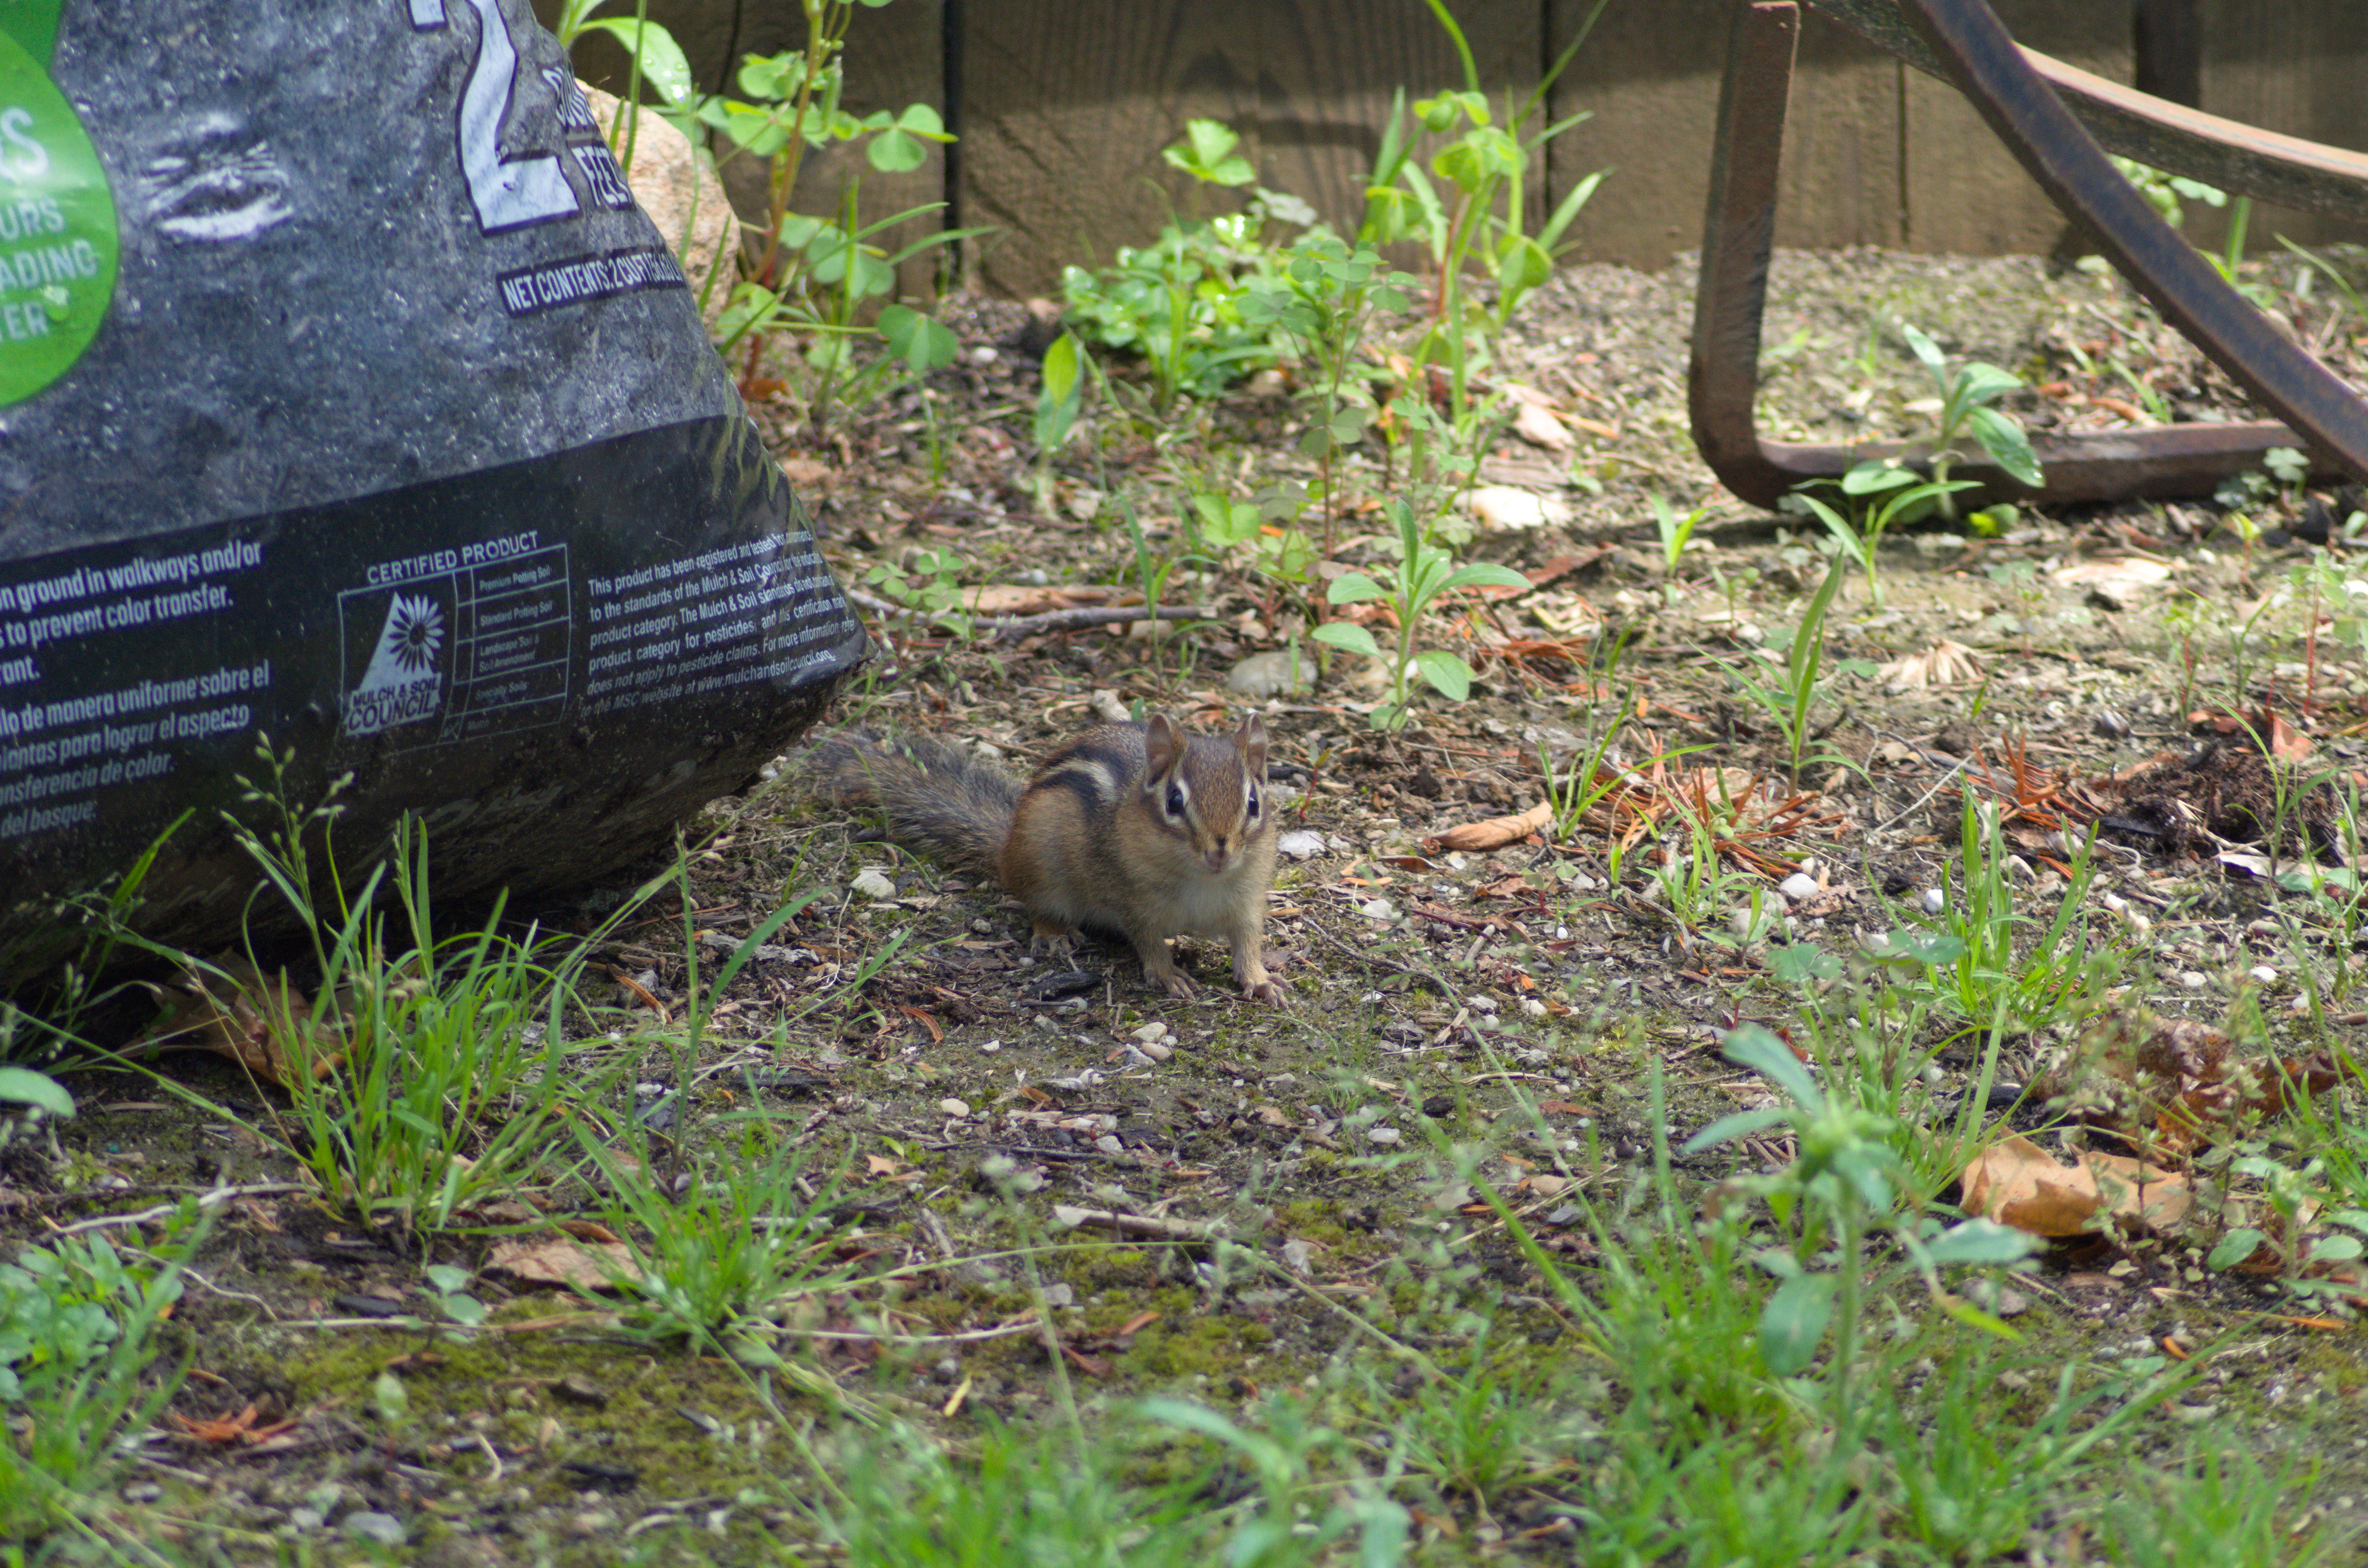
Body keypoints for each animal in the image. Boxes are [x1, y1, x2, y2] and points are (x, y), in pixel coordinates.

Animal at [807, 716, 1285, 1005]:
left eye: (1254, 804)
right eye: (1174, 802)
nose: (1220, 849)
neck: (1204, 879)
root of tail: (1005, 850)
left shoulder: (1246, 902)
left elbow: (1248, 942)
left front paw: (1261, 980)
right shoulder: (1133, 901)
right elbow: (1149, 942)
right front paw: (1169, 975)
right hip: (1041, 866)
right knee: (1037, 906)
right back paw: (1055, 934)